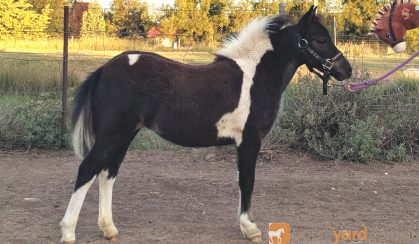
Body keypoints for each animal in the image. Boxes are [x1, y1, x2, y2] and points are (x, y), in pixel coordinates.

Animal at [60, 6, 352, 243]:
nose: (346, 70)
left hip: (124, 136)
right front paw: (250, 228)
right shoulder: (250, 140)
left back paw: (109, 229)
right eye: (320, 39)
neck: (255, 76)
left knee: (107, 174)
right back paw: (68, 232)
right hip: (112, 135)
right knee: (87, 170)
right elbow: (247, 180)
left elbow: (241, 180)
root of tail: (103, 70)